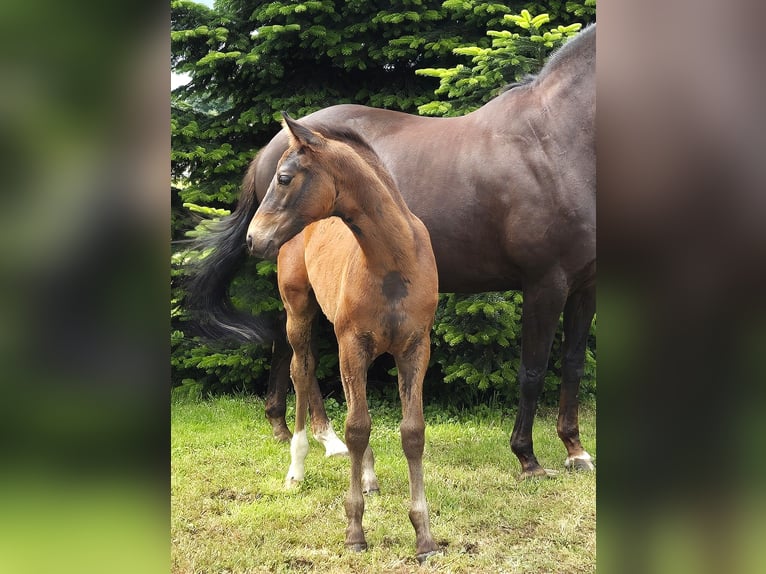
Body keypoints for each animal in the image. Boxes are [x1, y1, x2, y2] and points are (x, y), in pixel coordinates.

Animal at [188, 24, 600, 480]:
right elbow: (533, 369)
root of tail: (268, 148)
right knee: (304, 355)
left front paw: (575, 449)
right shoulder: (545, 283)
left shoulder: (585, 286)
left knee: (288, 344)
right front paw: (527, 457)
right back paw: (327, 439)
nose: (255, 236)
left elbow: (573, 364)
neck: (552, 141)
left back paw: (282, 425)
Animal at [246, 112, 438, 564]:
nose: (252, 238)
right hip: (299, 311)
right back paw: (297, 467)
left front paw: (424, 536)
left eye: (284, 178)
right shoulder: (353, 342)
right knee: (302, 371)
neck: (393, 260)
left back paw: (366, 474)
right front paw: (354, 531)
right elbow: (356, 427)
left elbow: (411, 432)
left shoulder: (415, 347)